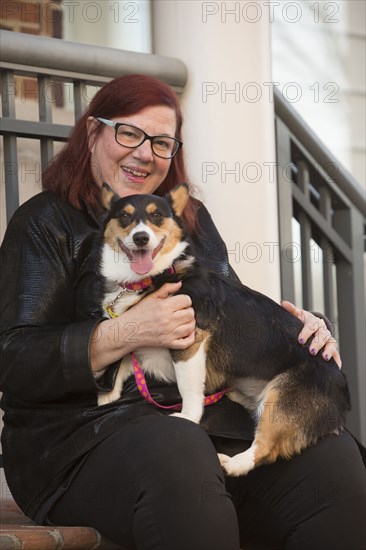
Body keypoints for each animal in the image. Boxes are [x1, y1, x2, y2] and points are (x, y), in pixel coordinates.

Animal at [96, 183, 350, 476]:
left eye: (156, 215)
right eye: (124, 217)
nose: (140, 238)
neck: (153, 277)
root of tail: (343, 388)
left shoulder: (189, 341)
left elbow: (187, 387)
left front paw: (187, 417)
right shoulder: (136, 333)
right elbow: (121, 361)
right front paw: (106, 397)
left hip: (282, 400)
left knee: (266, 449)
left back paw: (233, 463)